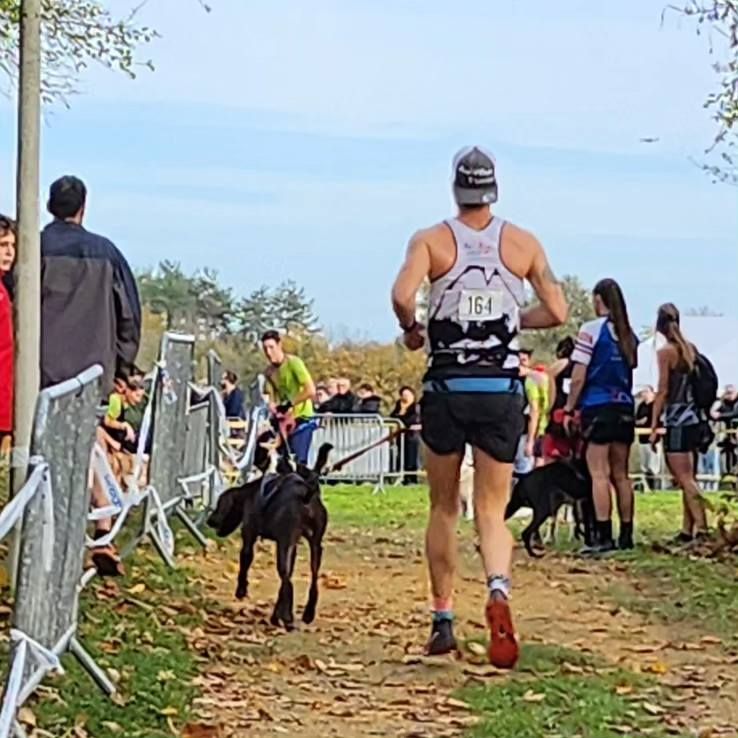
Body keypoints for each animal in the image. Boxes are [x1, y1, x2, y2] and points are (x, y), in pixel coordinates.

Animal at [208, 440, 332, 628]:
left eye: (218, 505)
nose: (209, 520)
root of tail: (307, 493)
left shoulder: (249, 536)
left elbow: (245, 563)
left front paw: (241, 591)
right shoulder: (293, 548)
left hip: (284, 546)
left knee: (287, 581)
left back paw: (287, 618)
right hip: (315, 547)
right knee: (311, 580)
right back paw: (305, 614)